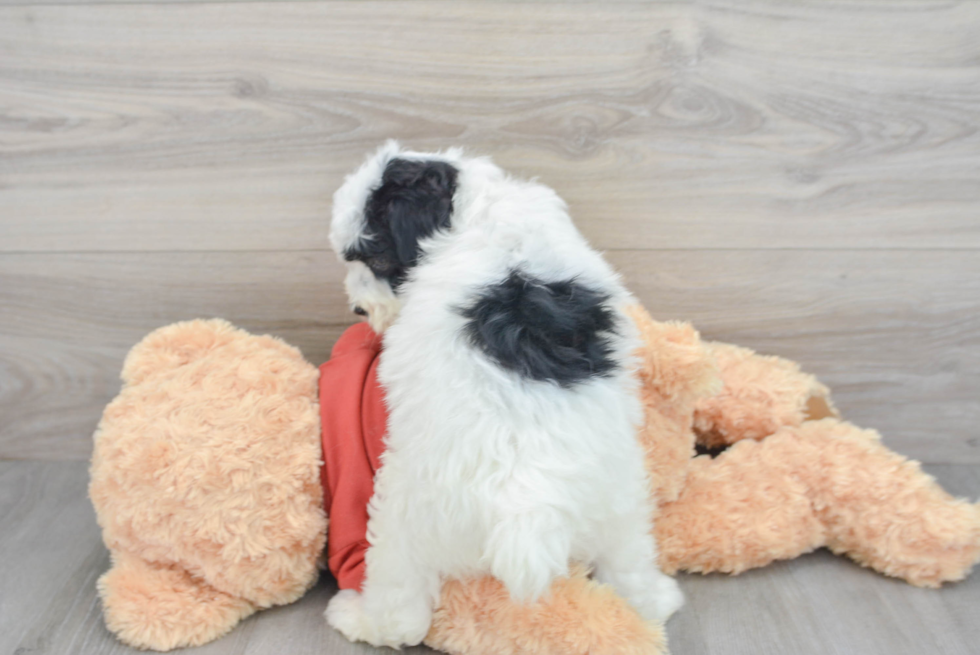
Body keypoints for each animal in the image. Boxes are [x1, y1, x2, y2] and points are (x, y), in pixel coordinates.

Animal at [322, 141, 680, 648]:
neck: (477, 212)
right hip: (619, 502)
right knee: (629, 561)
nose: (357, 308)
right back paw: (656, 600)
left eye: (376, 263)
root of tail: (527, 510)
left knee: (402, 611)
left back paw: (357, 618)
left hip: (404, 521)